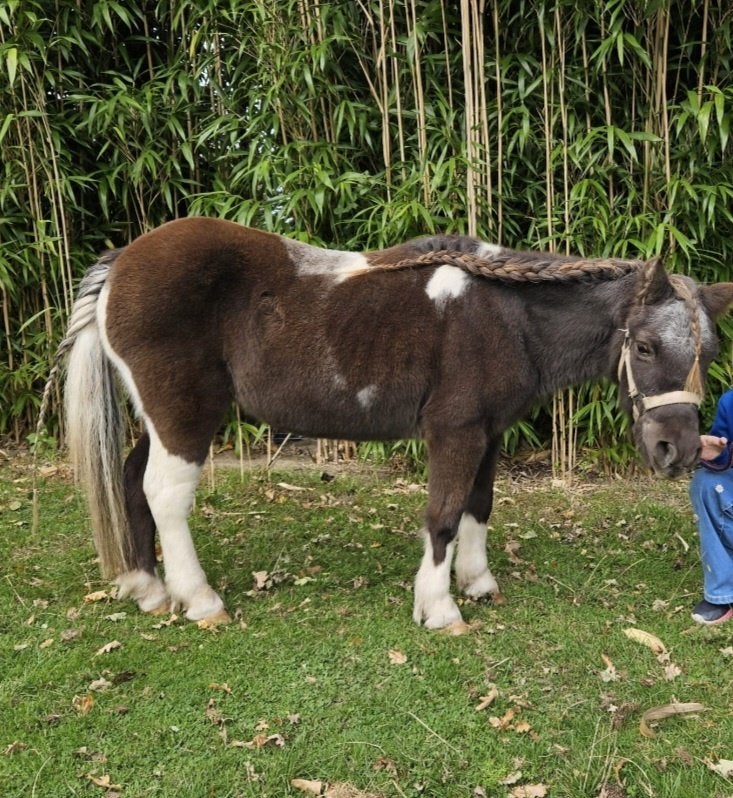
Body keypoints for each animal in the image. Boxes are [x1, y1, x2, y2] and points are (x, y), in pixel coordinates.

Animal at [47, 217, 733, 629]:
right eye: (644, 346)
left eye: (708, 354)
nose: (676, 449)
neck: (507, 313)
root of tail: (121, 263)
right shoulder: (455, 431)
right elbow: (444, 513)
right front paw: (440, 608)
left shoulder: (487, 432)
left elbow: (479, 505)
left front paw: (478, 583)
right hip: (186, 415)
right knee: (165, 493)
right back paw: (200, 599)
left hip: (160, 418)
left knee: (131, 480)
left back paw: (147, 586)